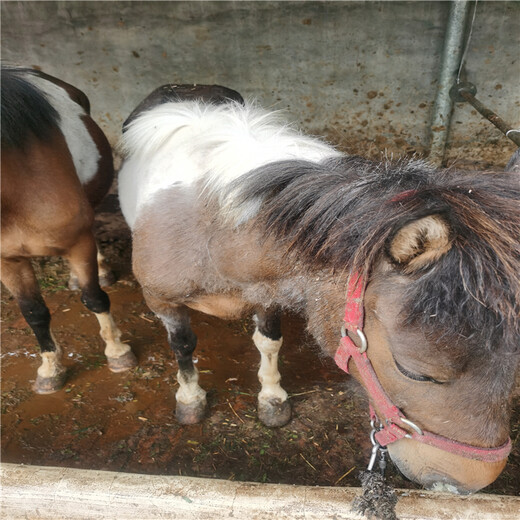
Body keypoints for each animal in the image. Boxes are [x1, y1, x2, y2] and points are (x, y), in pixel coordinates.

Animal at [0, 67, 137, 394]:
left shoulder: (78, 243)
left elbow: (95, 298)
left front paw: (118, 353)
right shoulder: (8, 260)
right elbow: (33, 312)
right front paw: (50, 369)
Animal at [119, 84, 520, 492]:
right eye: (414, 372)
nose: (470, 481)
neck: (212, 229)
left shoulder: (269, 292)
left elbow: (269, 343)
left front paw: (273, 399)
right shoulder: (161, 301)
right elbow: (183, 347)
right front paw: (190, 400)